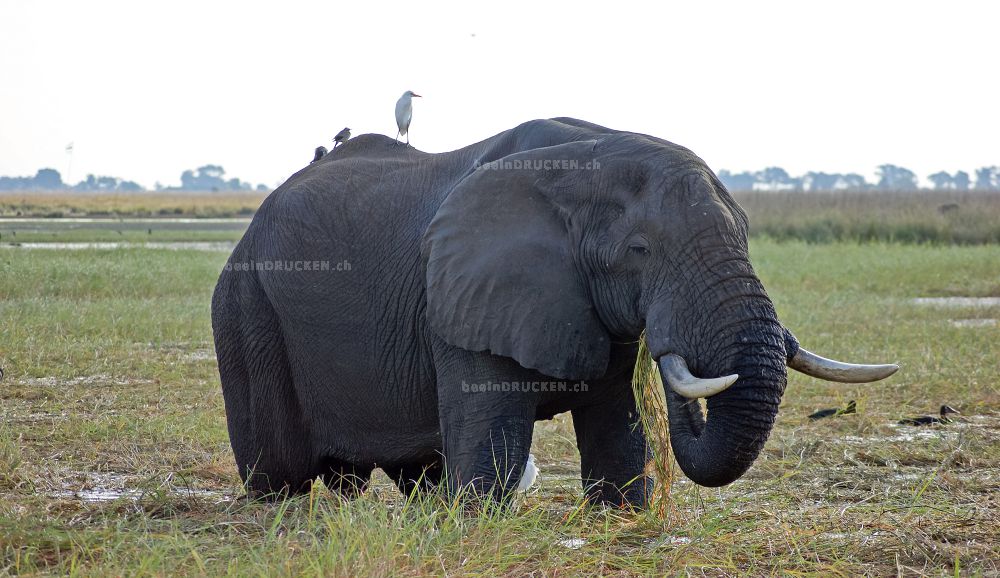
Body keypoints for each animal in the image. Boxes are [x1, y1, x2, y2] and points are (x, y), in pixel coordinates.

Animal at [213, 117, 900, 504]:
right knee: (283, 472)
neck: (589, 155)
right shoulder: (463, 291)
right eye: (640, 251)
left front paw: (621, 515)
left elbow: (616, 432)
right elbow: (490, 452)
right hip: (245, 308)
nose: (675, 354)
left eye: (747, 234)